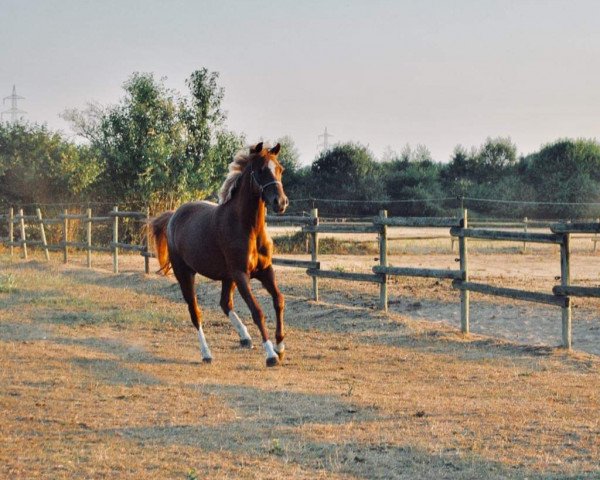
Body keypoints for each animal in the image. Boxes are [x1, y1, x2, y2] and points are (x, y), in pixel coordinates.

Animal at [150, 142, 290, 368]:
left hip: (227, 277)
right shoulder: (241, 275)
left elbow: (279, 300)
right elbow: (257, 311)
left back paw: (245, 338)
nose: (281, 202)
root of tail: (173, 216)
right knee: (195, 312)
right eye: (261, 170)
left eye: (280, 169)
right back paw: (206, 354)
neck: (247, 227)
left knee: (225, 304)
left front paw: (281, 347)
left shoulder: (265, 270)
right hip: (186, 274)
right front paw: (270, 355)